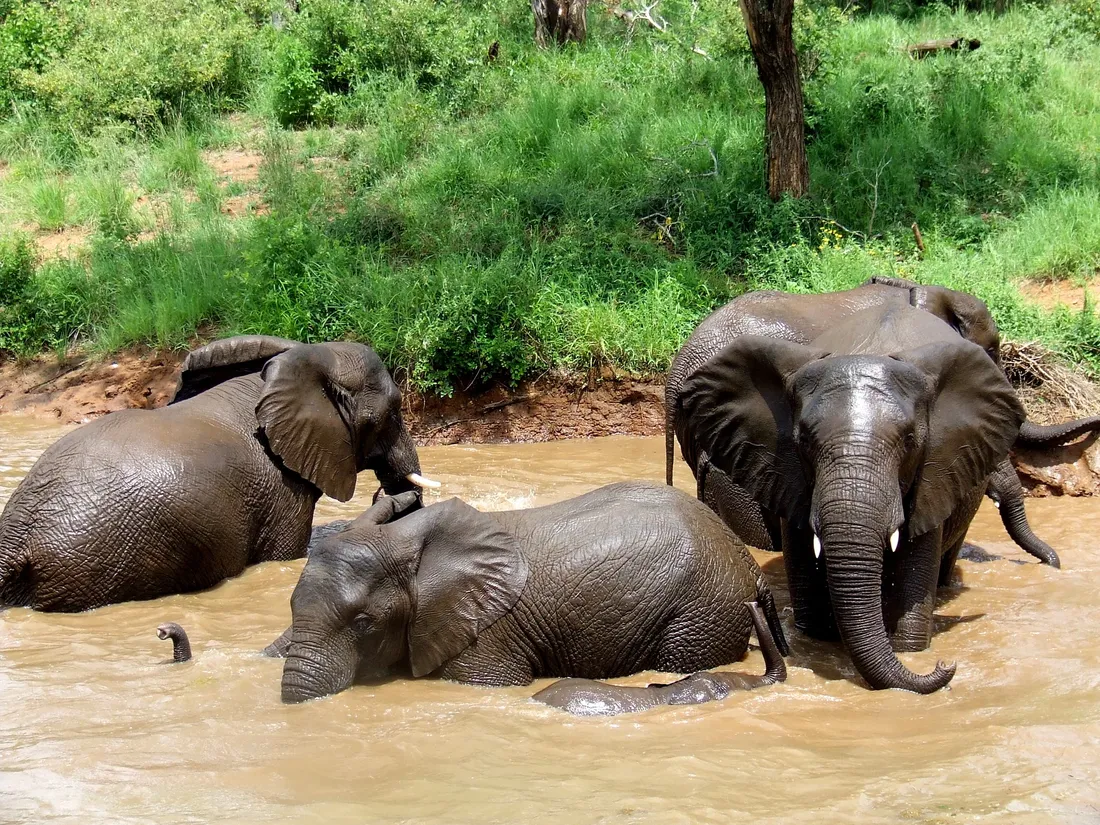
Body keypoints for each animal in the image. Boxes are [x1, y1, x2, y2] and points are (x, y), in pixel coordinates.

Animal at [0, 332, 435, 611]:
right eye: (392, 413)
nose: (394, 492)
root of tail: (15, 537)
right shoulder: (281, 490)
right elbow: (286, 554)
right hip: (98, 565)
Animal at [677, 301, 1020, 690]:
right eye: (804, 440)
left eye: (910, 441)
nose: (947, 665)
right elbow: (810, 598)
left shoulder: (934, 470)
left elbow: (912, 587)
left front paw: (910, 649)